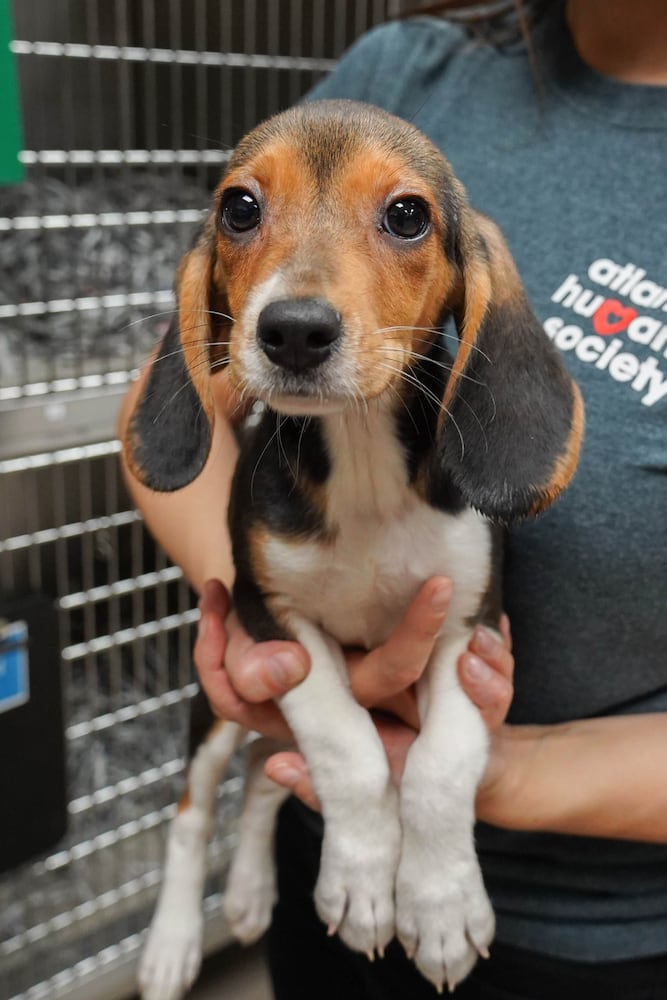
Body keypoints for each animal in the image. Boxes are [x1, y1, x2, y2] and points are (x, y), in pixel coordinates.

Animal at [126, 97, 584, 996]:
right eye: (239, 208)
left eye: (407, 215)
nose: (294, 331)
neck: (363, 459)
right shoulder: (273, 626)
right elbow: (349, 750)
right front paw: (366, 882)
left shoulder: (468, 626)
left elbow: (439, 767)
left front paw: (438, 904)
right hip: (216, 709)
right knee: (198, 811)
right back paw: (173, 942)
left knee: (265, 785)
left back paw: (249, 893)